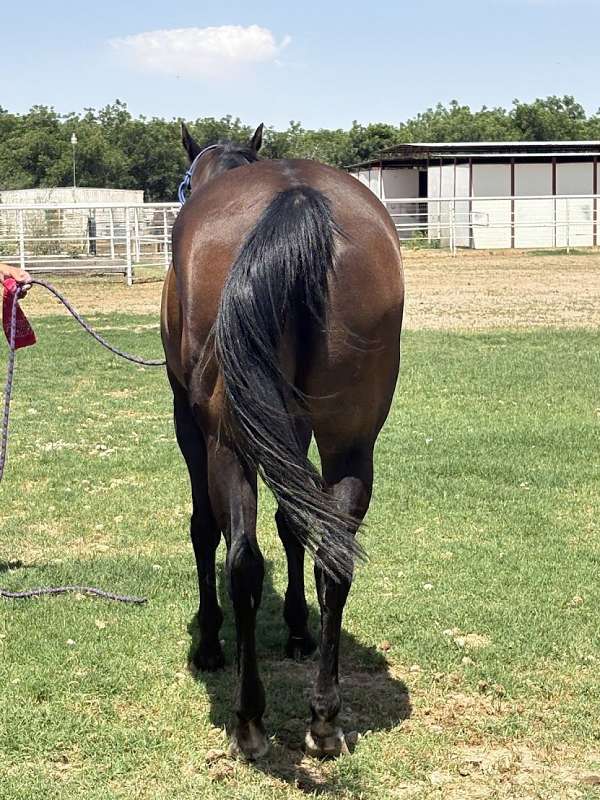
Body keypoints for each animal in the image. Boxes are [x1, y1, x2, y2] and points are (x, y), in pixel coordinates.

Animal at [160, 121, 404, 761]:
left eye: (185, 182)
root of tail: (296, 198)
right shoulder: (291, 424)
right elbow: (295, 522)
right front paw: (297, 628)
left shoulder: (188, 421)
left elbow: (205, 528)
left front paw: (211, 640)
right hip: (350, 439)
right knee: (334, 558)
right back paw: (324, 717)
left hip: (225, 440)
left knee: (242, 559)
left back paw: (249, 718)